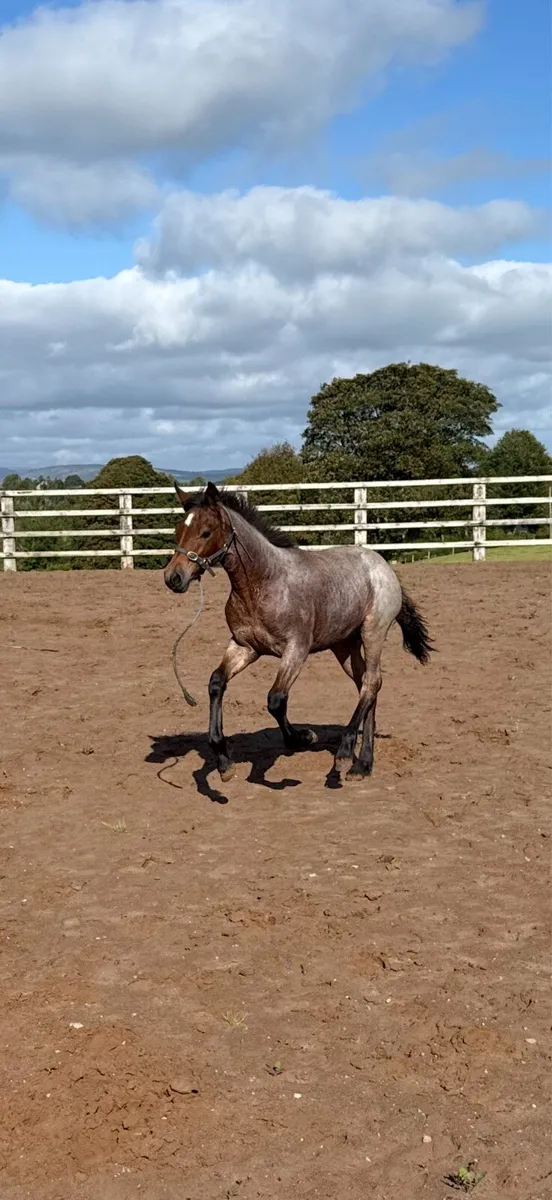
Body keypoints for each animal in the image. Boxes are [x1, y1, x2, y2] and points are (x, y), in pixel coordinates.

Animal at [164, 481, 433, 783]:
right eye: (178, 530)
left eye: (206, 532)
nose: (173, 577)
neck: (262, 583)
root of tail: (383, 565)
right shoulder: (245, 647)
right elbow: (216, 683)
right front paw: (223, 762)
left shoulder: (296, 649)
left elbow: (275, 700)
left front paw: (303, 738)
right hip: (344, 646)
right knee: (366, 685)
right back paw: (363, 763)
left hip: (373, 632)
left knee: (372, 682)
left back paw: (345, 756)